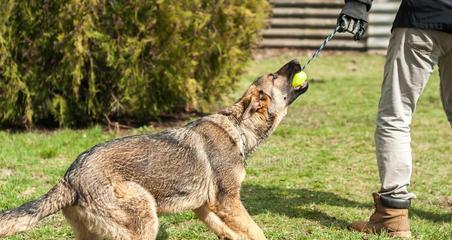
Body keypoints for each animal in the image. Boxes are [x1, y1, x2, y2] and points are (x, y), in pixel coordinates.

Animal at [0, 59, 308, 239]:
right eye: (274, 75)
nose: (296, 60)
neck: (239, 129)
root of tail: (69, 178)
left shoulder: (205, 207)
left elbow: (231, 232)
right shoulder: (228, 202)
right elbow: (257, 231)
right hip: (146, 217)